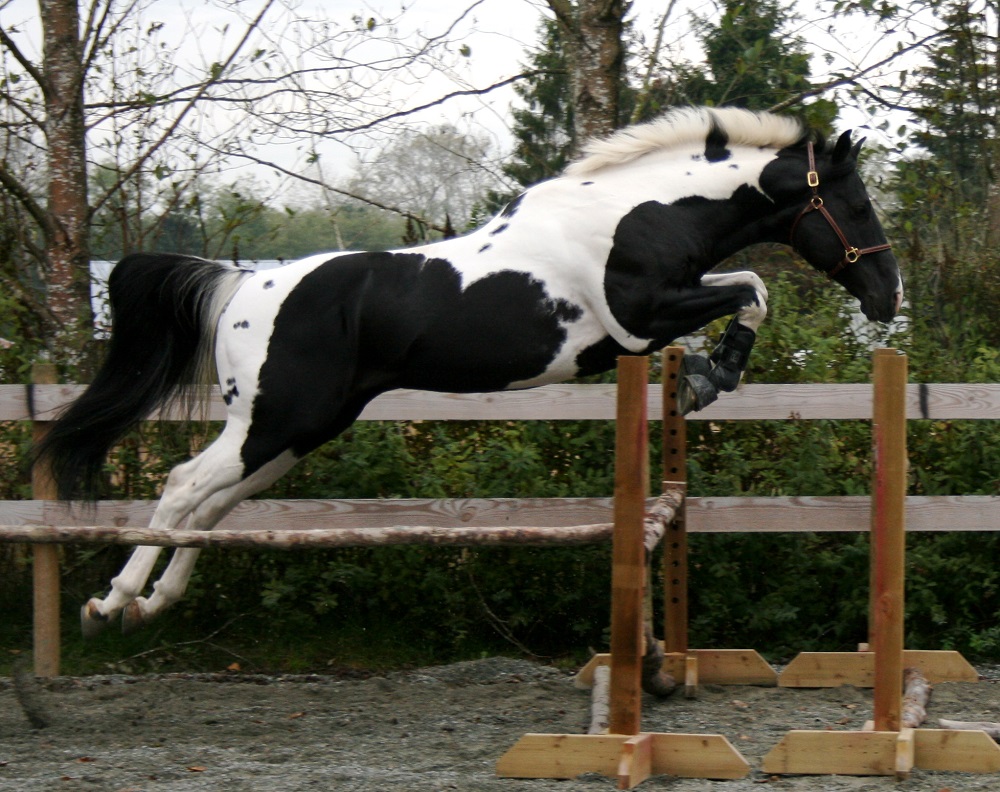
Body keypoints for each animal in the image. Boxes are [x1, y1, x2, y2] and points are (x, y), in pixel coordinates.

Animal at [36, 106, 903, 636]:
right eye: (856, 207)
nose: (888, 296)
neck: (644, 214)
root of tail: (240, 285)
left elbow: (750, 288)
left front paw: (706, 375)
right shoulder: (640, 318)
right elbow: (750, 289)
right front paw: (710, 374)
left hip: (298, 429)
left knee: (214, 507)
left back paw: (153, 605)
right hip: (273, 422)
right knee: (185, 486)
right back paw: (110, 605)